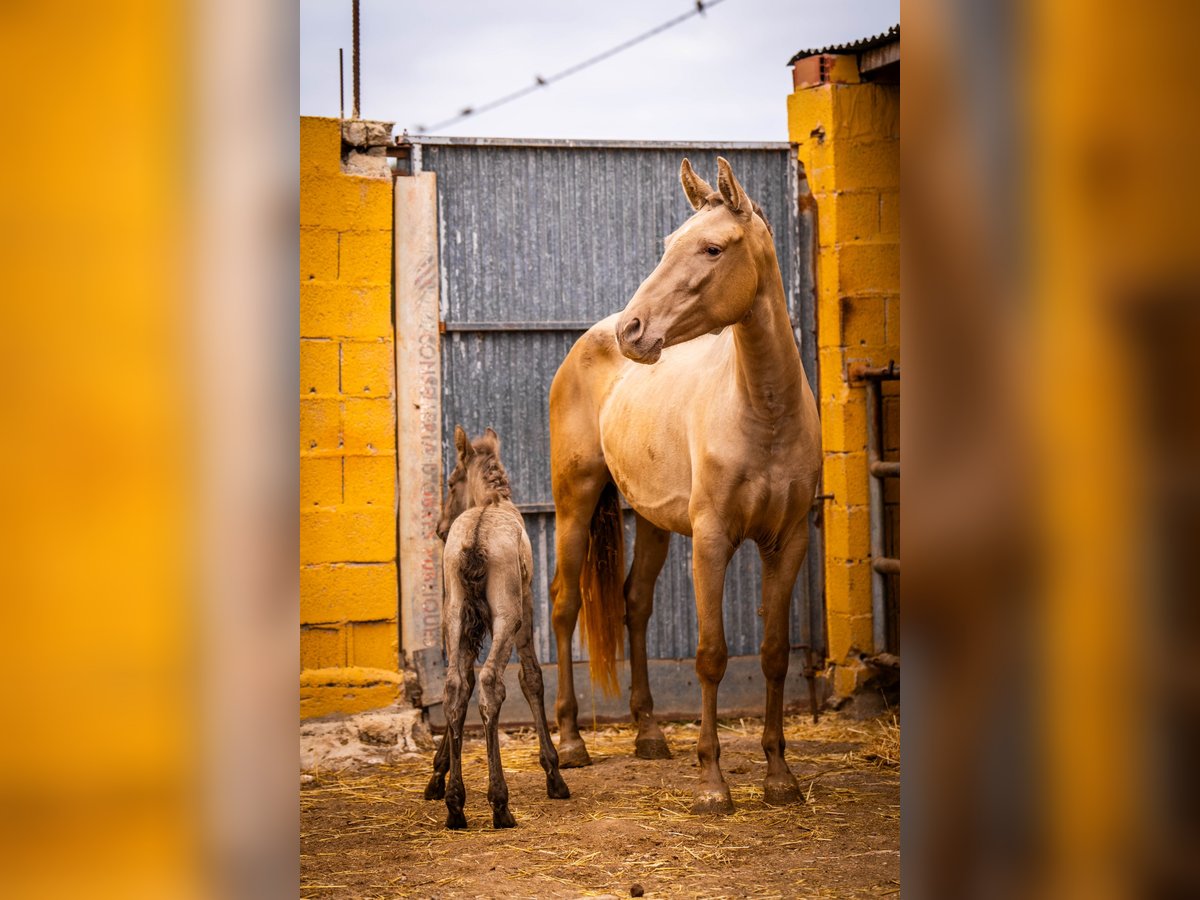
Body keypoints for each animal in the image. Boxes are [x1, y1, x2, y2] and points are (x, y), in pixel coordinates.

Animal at [549, 157, 820, 816]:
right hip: (574, 505)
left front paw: (779, 777)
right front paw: (713, 784)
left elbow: (775, 655)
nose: (634, 330)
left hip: (650, 522)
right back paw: (570, 743)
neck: (765, 412)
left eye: (712, 248)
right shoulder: (712, 540)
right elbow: (711, 656)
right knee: (565, 607)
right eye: (668, 243)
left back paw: (648, 734)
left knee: (634, 604)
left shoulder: (789, 543)